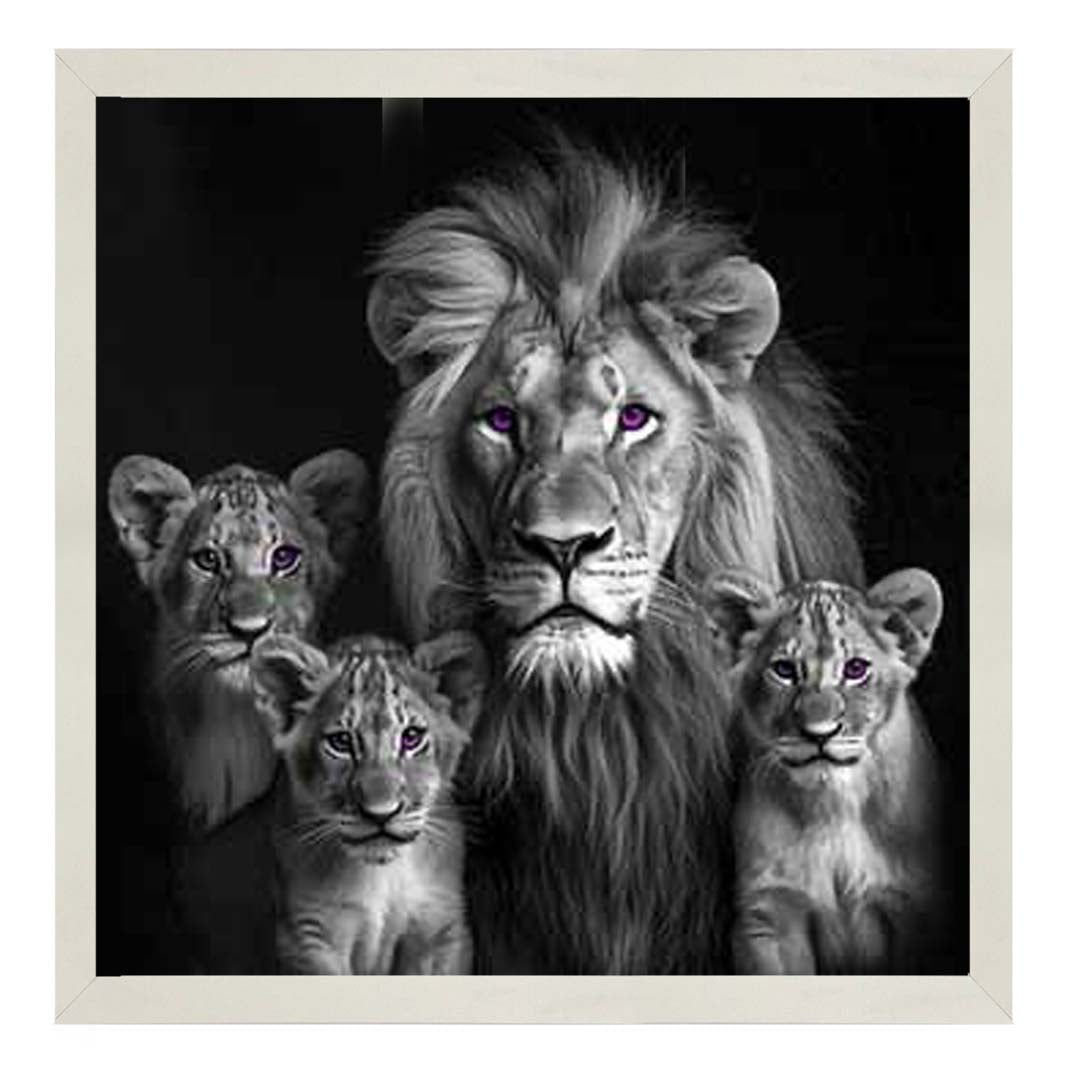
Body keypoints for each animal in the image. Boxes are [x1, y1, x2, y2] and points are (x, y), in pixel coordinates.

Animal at [250, 631, 486, 974]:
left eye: (411, 737)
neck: (382, 875)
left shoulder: (441, 929)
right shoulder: (308, 938)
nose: (381, 814)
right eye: (341, 742)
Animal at [704, 568, 945, 974]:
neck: (834, 805)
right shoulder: (770, 913)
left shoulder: (916, 910)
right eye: (784, 670)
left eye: (856, 669)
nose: (820, 733)